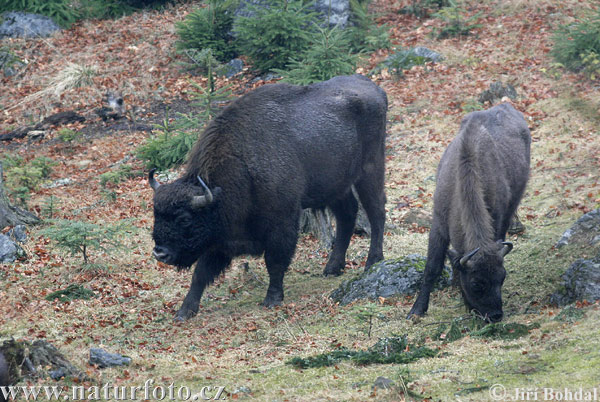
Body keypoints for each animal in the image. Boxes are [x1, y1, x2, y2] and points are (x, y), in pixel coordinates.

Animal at [148, 74, 386, 320]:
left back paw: (373, 262)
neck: (241, 166)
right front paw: (184, 311)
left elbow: (274, 261)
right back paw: (332, 268)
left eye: (185, 219)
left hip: (370, 169)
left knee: (377, 212)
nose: (160, 253)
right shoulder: (220, 238)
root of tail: (372, 86)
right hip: (336, 185)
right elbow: (201, 273)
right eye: (155, 214)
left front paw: (272, 299)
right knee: (347, 216)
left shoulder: (281, 223)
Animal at [408, 103, 528, 324]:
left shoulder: (497, 219)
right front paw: (416, 311)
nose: (496, 315)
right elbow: (432, 268)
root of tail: (505, 105)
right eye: (476, 283)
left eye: (502, 278)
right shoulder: (438, 224)